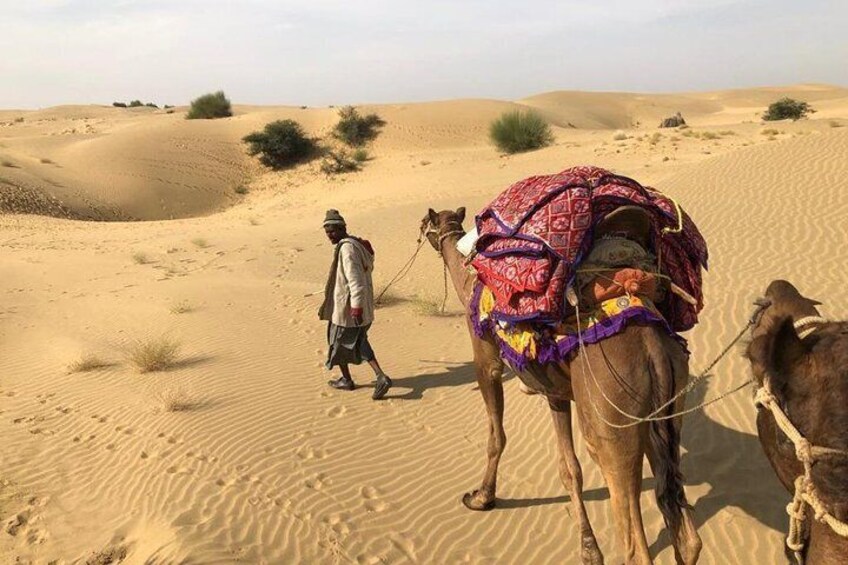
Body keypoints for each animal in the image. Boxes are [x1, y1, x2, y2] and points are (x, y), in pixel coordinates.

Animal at [422, 208, 704, 564]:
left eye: (425, 224)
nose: (420, 230)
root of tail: (652, 347)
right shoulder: (555, 390)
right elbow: (569, 469)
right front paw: (588, 548)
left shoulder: (485, 358)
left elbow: (496, 437)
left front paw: (481, 497)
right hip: (667, 407)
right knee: (687, 534)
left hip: (611, 417)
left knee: (633, 539)